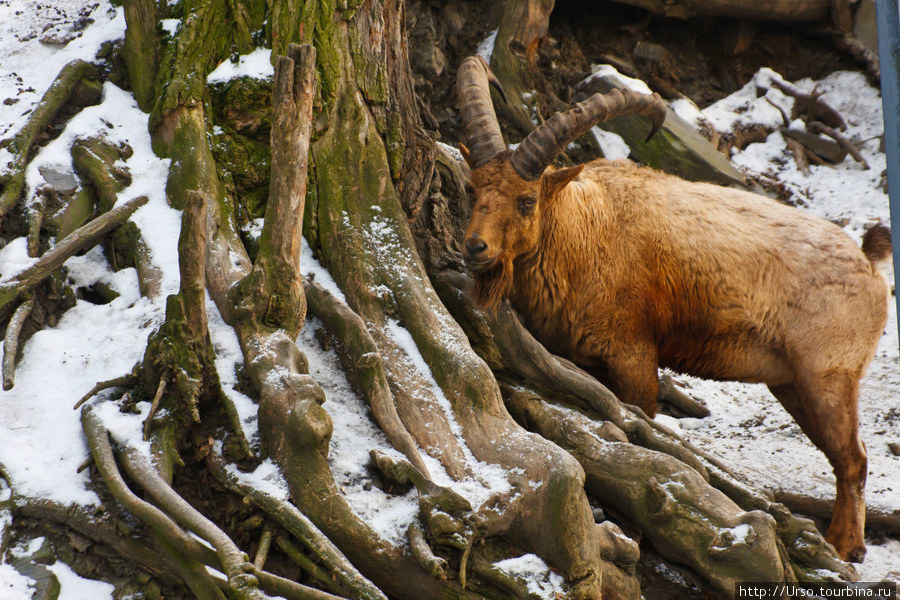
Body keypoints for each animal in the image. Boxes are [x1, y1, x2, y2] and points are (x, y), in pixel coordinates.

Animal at [458, 55, 892, 564]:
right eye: (472, 190)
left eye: (527, 201)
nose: (476, 248)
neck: (585, 232)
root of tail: (869, 263)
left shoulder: (633, 353)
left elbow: (641, 425)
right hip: (792, 383)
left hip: (829, 376)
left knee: (854, 459)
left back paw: (845, 548)